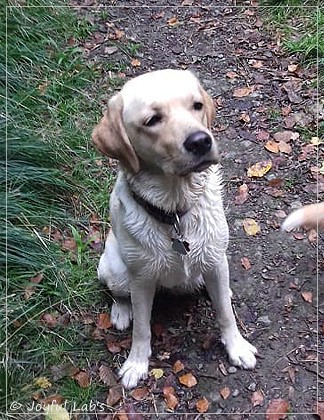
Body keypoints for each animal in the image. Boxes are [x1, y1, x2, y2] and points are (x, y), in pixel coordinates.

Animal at [92, 68, 256, 388]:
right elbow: (142, 329)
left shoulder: (215, 260)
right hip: (114, 270)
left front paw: (237, 347)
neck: (176, 211)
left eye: (197, 105)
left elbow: (225, 314)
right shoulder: (141, 279)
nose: (200, 141)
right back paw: (121, 311)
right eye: (152, 120)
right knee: (120, 294)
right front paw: (136, 364)